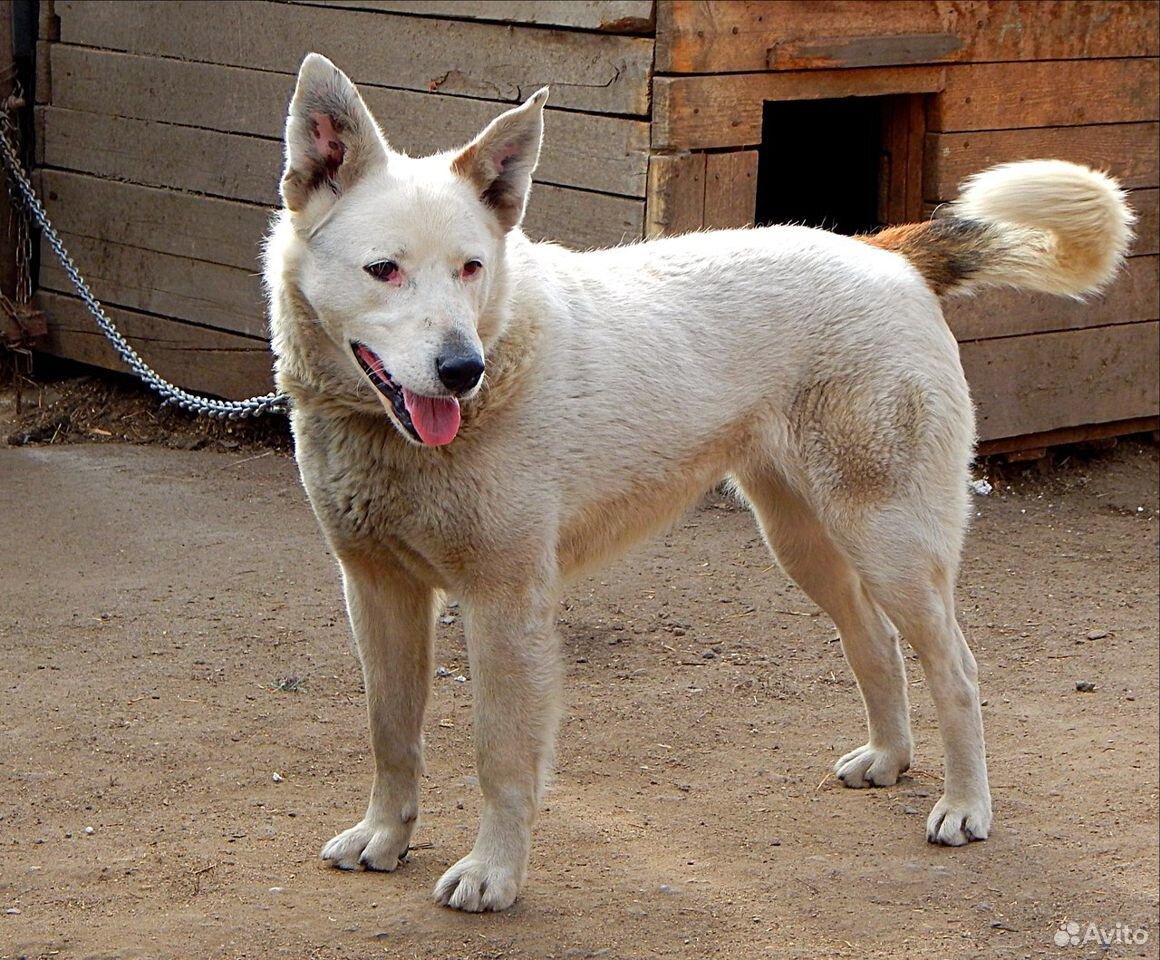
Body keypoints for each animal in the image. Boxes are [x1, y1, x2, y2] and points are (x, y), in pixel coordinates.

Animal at [263, 54, 1132, 913]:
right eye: (384, 270)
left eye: (471, 269)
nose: (461, 370)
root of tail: (887, 252)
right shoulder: (377, 591)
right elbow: (391, 734)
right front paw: (385, 837)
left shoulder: (504, 603)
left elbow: (500, 759)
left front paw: (493, 873)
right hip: (804, 542)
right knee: (875, 644)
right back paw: (889, 758)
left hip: (894, 547)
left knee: (958, 669)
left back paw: (965, 805)